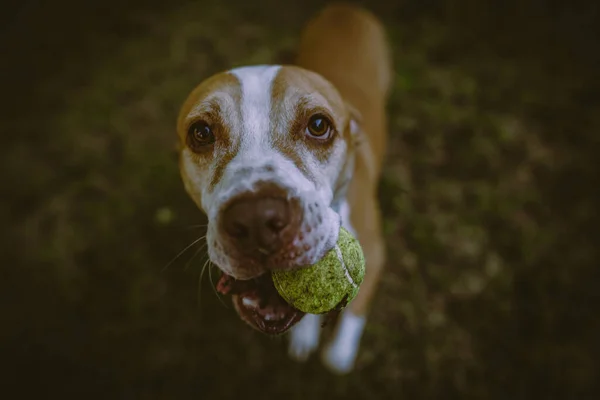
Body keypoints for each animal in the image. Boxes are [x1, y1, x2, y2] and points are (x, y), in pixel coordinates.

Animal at [176, 2, 392, 376]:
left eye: (318, 125)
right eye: (201, 133)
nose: (256, 220)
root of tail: (345, 8)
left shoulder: (376, 253)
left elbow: (354, 311)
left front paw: (340, 354)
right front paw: (305, 337)